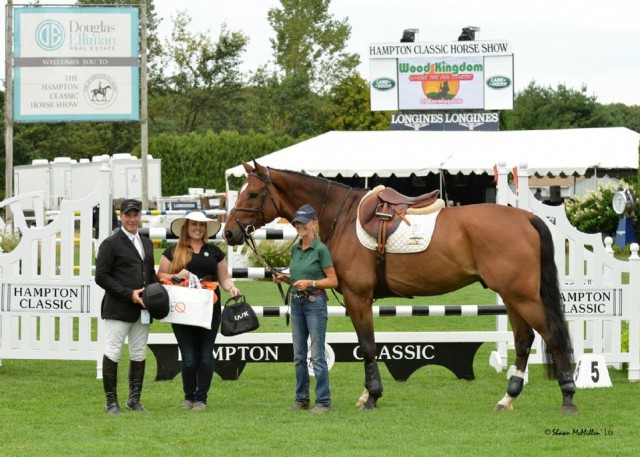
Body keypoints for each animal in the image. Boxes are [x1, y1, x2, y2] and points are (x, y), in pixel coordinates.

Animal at [226, 161, 580, 414]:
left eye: (252, 194)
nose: (229, 232)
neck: (342, 216)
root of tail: (526, 218)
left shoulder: (358, 297)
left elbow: (368, 345)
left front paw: (372, 396)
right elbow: (367, 345)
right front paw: (368, 394)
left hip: (521, 296)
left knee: (553, 335)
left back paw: (568, 396)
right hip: (511, 297)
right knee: (524, 339)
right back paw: (508, 398)